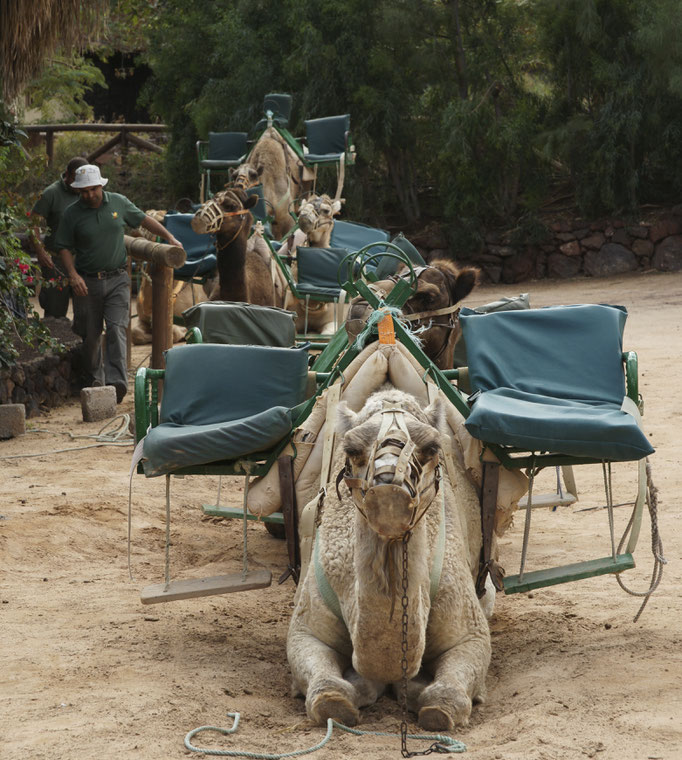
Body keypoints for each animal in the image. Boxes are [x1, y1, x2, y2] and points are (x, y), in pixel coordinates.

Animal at [286, 386, 488, 732]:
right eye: (352, 449)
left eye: (431, 447)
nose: (388, 490)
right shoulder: (305, 627)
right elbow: (327, 694)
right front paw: (351, 691)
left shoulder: (471, 632)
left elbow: (447, 696)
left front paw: (424, 694)